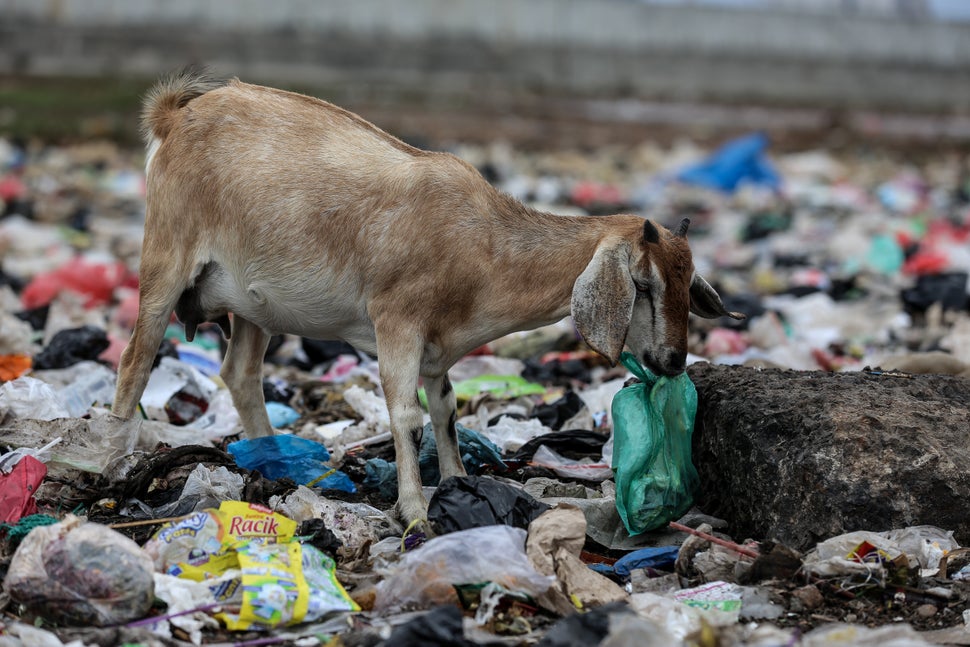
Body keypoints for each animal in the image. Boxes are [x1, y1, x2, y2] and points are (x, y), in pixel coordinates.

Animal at [113, 71, 740, 528]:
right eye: (644, 285)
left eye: (688, 283)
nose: (673, 361)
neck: (481, 244)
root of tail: (175, 113)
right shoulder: (396, 322)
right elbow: (408, 416)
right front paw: (415, 510)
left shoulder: (440, 346)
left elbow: (446, 409)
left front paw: (459, 481)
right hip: (167, 253)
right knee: (135, 359)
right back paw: (113, 456)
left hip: (251, 305)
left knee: (240, 372)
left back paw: (274, 459)